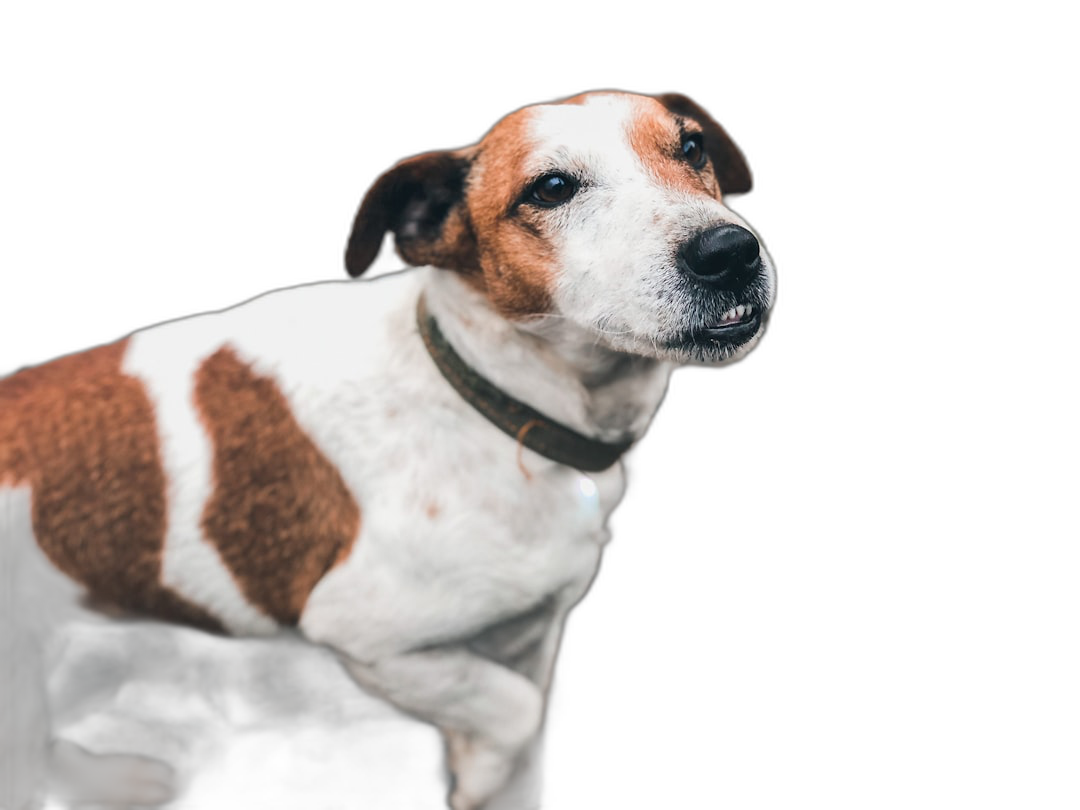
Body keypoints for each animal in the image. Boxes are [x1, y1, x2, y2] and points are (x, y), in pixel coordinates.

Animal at [0, 90, 777, 810]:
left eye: (692, 147)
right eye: (552, 188)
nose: (730, 253)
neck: (487, 397)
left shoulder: (525, 636)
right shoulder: (376, 640)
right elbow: (518, 720)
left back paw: (106, 782)